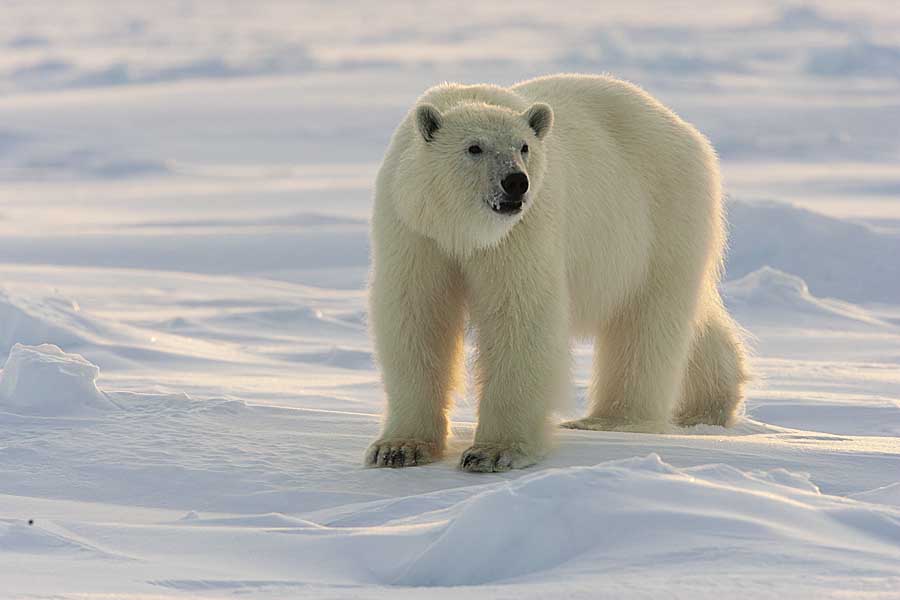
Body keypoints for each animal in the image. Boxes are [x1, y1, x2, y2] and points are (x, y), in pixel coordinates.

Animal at [362, 72, 748, 472]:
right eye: (474, 147)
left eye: (524, 147)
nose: (516, 182)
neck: (462, 230)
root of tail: (685, 130)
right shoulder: (415, 231)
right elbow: (417, 316)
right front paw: (399, 447)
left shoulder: (523, 231)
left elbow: (519, 316)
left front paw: (494, 451)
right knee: (694, 320)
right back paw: (709, 404)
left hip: (661, 216)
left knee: (647, 320)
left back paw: (610, 419)